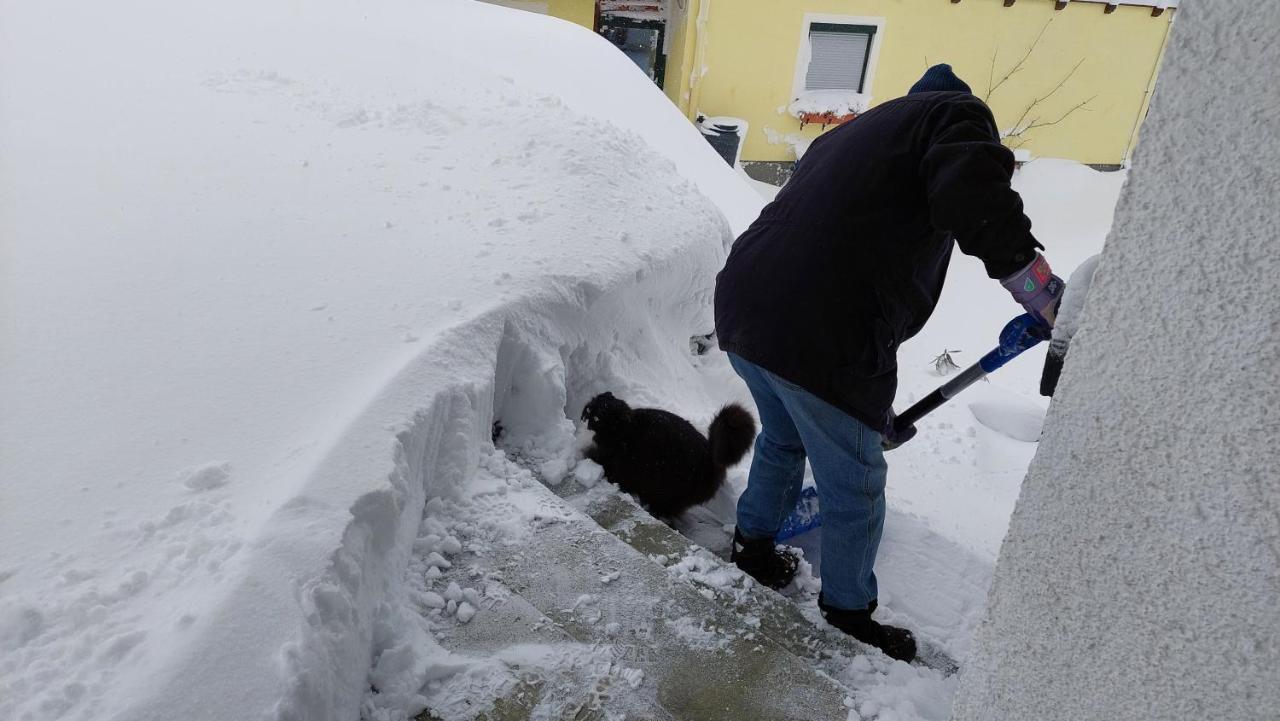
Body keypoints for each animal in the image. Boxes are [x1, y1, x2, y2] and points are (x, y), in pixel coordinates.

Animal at [578, 394, 752, 519]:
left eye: (599, 416)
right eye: (589, 410)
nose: (587, 420)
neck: (623, 430)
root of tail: (711, 455)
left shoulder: (615, 466)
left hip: (666, 494)